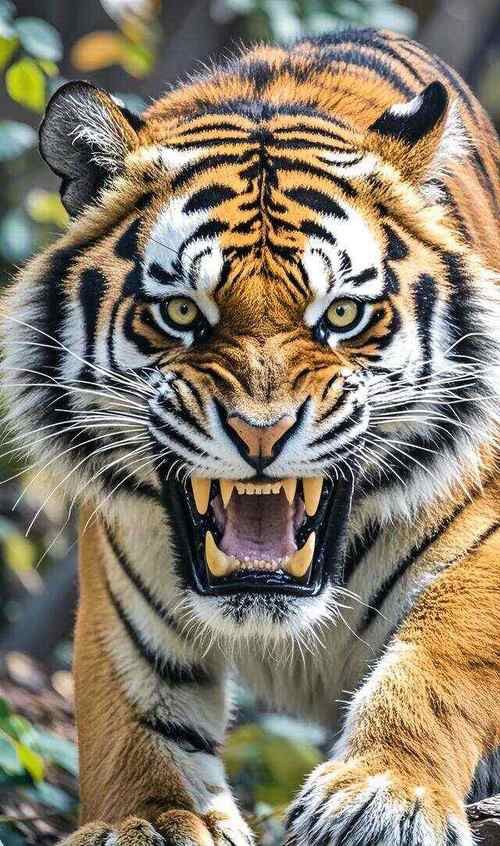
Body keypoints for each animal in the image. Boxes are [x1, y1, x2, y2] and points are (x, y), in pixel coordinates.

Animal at [1, 24, 499, 846]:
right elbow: (133, 721)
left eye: (341, 315)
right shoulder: (124, 593)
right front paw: (150, 818)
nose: (260, 435)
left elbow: (440, 663)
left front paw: (383, 793)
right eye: (179, 313)